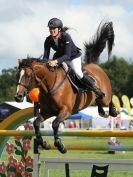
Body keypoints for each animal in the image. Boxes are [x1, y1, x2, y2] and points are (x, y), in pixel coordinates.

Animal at [14, 21, 117, 153]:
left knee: (107, 98)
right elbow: (36, 123)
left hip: (105, 96)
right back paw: (102, 111)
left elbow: (55, 124)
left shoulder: (65, 111)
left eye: (27, 76)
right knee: (100, 101)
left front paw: (60, 145)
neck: (49, 87)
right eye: (17, 75)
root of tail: (95, 65)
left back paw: (112, 110)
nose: (18, 97)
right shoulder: (47, 111)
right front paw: (44, 144)